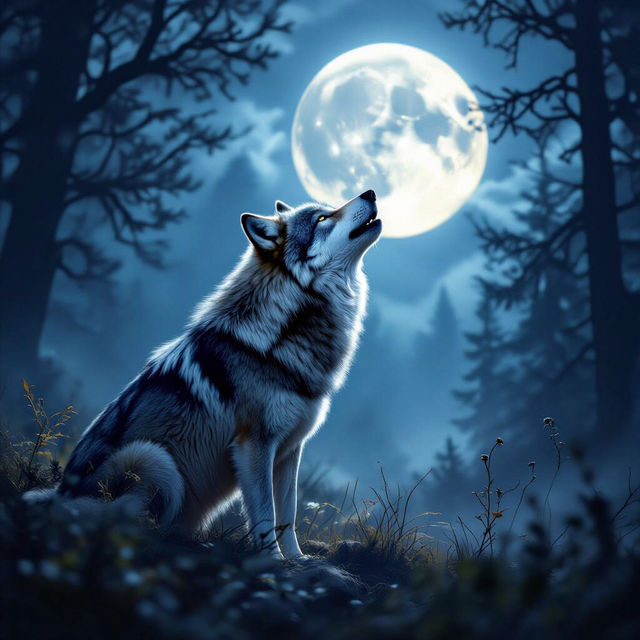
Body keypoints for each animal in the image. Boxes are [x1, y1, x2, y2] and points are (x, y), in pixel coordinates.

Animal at [28, 190, 381, 559]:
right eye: (322, 219)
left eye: (329, 211)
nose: (370, 193)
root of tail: (60, 494)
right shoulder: (254, 446)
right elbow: (266, 515)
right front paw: (272, 560)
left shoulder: (290, 451)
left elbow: (289, 513)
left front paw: (296, 559)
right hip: (155, 461)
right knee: (121, 525)